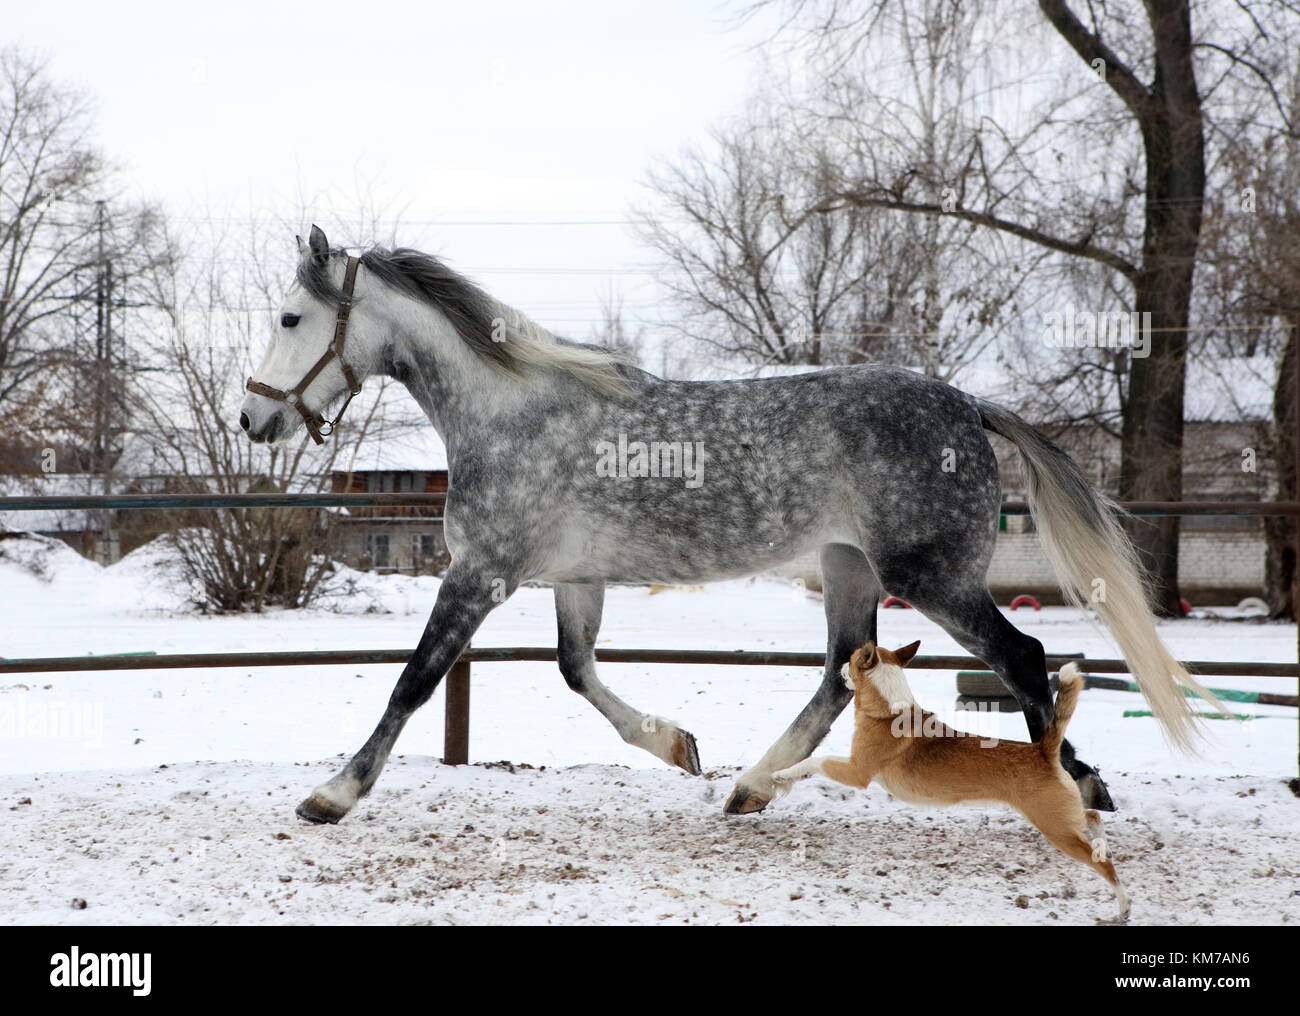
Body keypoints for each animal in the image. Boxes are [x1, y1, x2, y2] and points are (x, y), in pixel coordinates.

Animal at [236, 227, 1216, 821]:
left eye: (291, 316)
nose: (253, 419)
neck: (512, 413)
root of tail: (967, 405)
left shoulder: (480, 573)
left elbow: (413, 682)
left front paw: (332, 794)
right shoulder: (572, 578)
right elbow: (576, 672)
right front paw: (678, 747)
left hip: (929, 576)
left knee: (1020, 657)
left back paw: (1067, 783)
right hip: (850, 569)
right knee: (840, 677)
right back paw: (749, 786)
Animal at [769, 644, 1128, 925]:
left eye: (854, 657)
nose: (838, 665)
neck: (889, 709)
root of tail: (1042, 750)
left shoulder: (856, 771)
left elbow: (815, 762)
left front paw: (781, 774)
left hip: (1054, 826)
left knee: (1103, 863)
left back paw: (1122, 906)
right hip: (1063, 817)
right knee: (1092, 818)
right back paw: (1102, 843)